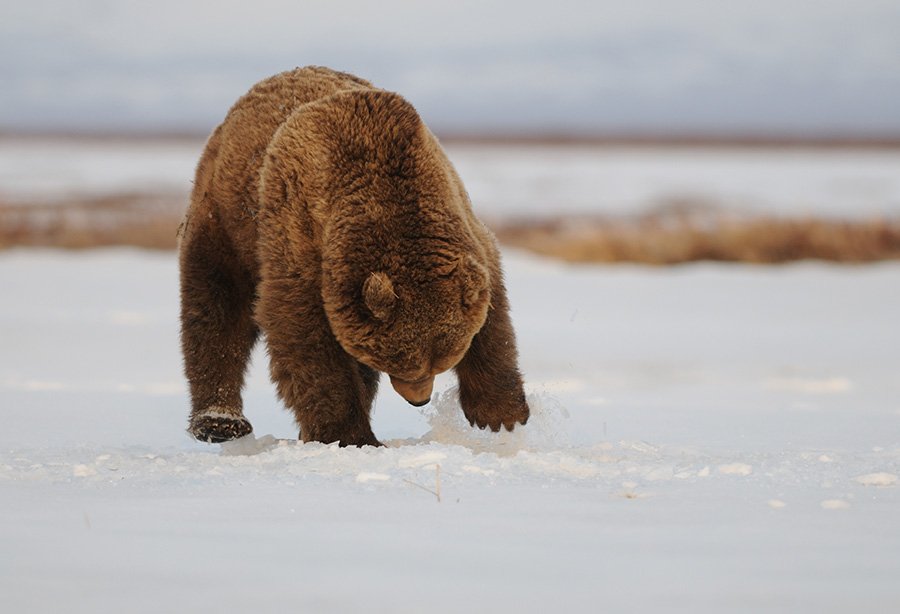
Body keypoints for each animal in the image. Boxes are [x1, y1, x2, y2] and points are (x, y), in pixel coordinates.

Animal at [178, 67, 528, 448]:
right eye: (402, 362)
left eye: (441, 361)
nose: (419, 399)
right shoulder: (301, 235)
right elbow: (302, 332)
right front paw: (350, 435)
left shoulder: (463, 222)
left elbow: (493, 314)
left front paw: (501, 415)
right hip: (225, 215)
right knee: (216, 306)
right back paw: (219, 422)